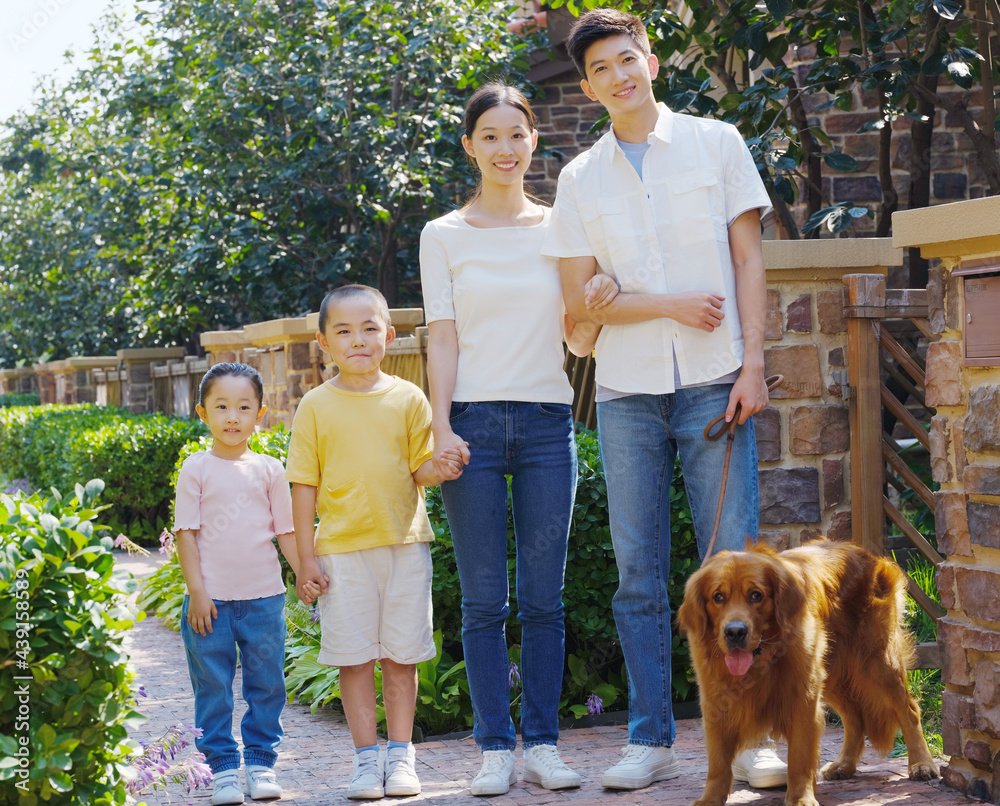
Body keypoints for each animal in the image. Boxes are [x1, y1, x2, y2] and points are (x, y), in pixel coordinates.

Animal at [680, 540, 936, 806]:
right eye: (718, 597)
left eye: (756, 595)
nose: (735, 632)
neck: (765, 657)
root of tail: (867, 555)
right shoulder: (715, 702)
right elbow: (718, 764)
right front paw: (710, 799)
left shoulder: (802, 699)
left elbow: (799, 757)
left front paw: (800, 797)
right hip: (832, 677)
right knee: (855, 717)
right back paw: (844, 764)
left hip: (877, 664)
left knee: (909, 710)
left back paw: (922, 763)